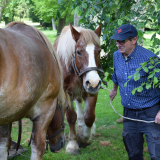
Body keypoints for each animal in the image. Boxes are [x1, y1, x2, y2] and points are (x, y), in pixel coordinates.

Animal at [0, 21, 65, 160]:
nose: (61, 143)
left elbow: (3, 145)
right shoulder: (45, 111)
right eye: (66, 109)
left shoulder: (6, 117)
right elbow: (38, 148)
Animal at [53, 23, 104, 154]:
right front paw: (73, 144)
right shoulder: (67, 93)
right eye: (78, 52)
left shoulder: (92, 90)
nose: (93, 82)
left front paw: (84, 138)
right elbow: (71, 117)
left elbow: (89, 117)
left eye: (99, 51)